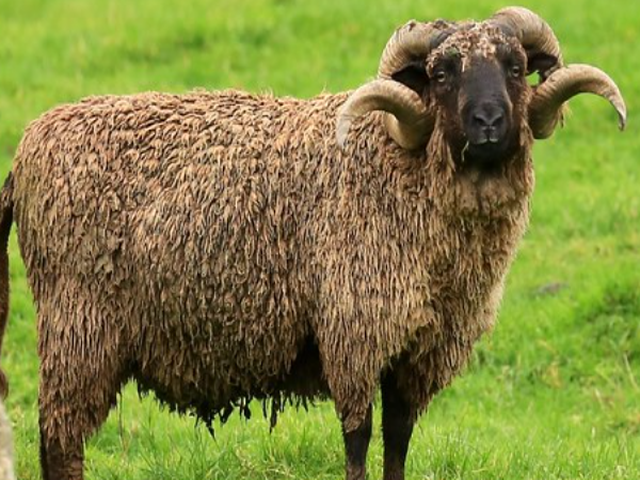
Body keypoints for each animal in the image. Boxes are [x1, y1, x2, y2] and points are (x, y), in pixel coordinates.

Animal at [0, 6, 626, 480]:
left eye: (516, 67)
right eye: (441, 73)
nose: (490, 123)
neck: (396, 169)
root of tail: (27, 146)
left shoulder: (419, 347)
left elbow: (398, 438)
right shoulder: (354, 328)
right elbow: (358, 437)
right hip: (78, 326)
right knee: (59, 442)